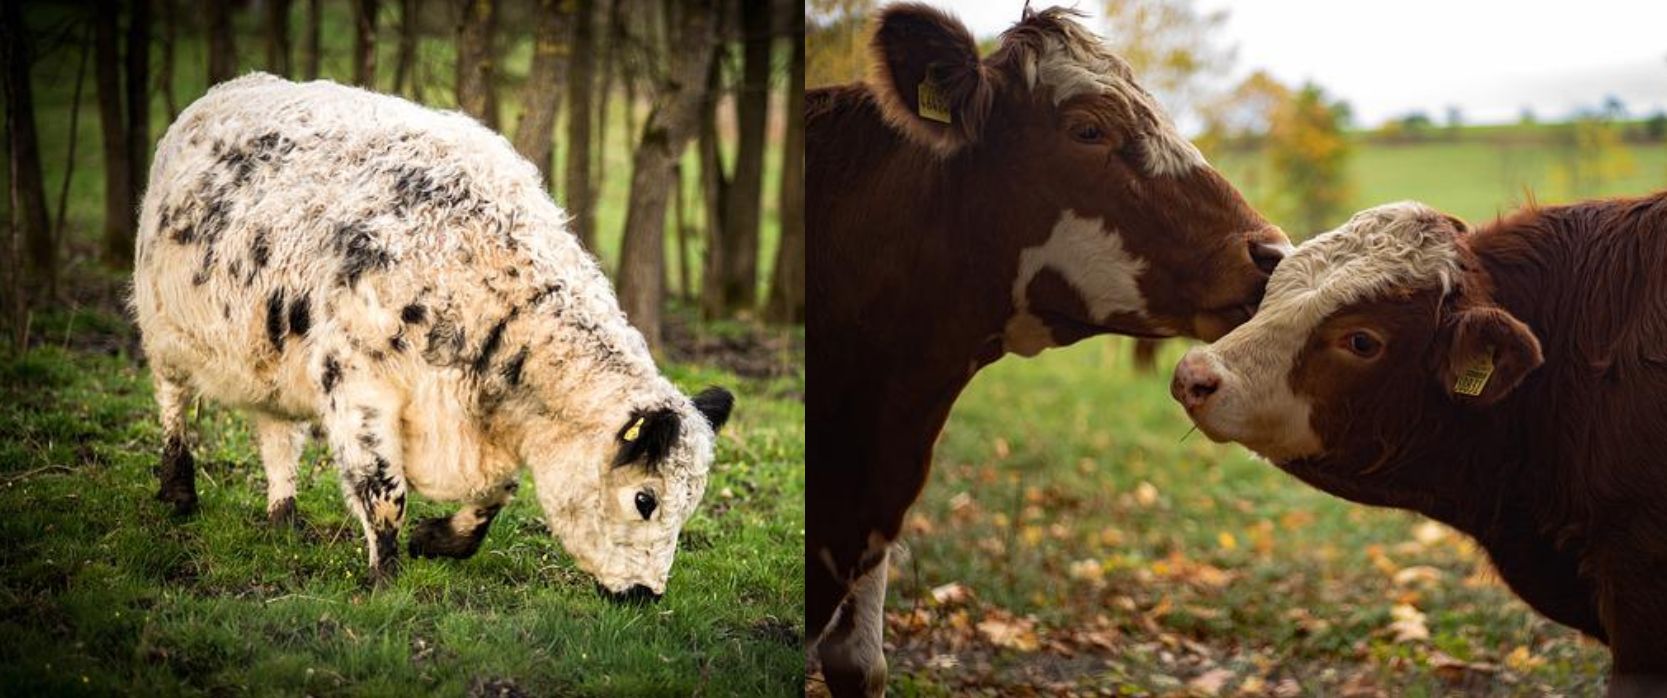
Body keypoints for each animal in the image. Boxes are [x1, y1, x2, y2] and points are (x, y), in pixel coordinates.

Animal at [131, 73, 734, 601]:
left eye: (690, 504)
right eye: (645, 499)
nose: (646, 594)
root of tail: (226, 91)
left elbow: (496, 494)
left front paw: (437, 539)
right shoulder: (358, 386)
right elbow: (383, 491)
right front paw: (387, 579)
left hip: (270, 357)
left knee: (278, 435)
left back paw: (285, 517)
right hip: (162, 327)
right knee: (173, 401)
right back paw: (179, 489)